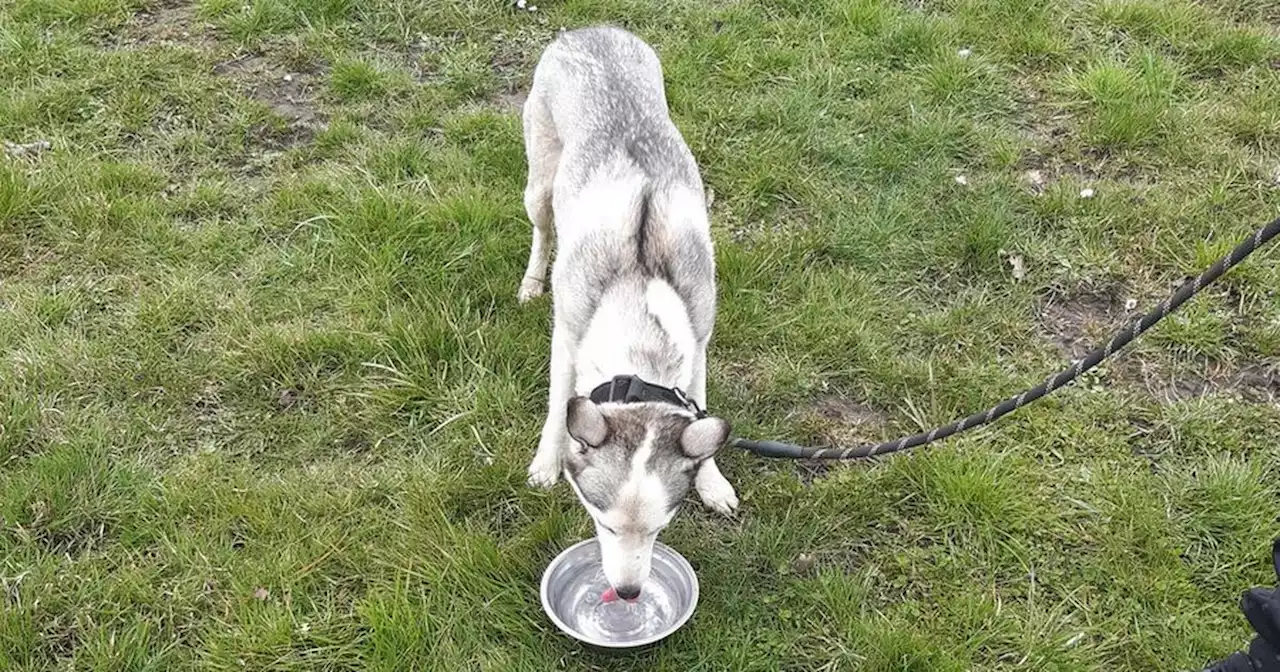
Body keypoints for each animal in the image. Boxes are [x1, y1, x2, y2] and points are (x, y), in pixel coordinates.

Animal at [519, 28, 742, 599]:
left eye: (663, 527)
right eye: (603, 523)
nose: (627, 593)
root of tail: (588, 29)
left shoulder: (700, 342)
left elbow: (702, 412)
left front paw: (712, 481)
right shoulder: (566, 337)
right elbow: (556, 407)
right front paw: (546, 463)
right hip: (541, 186)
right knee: (542, 232)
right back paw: (530, 283)